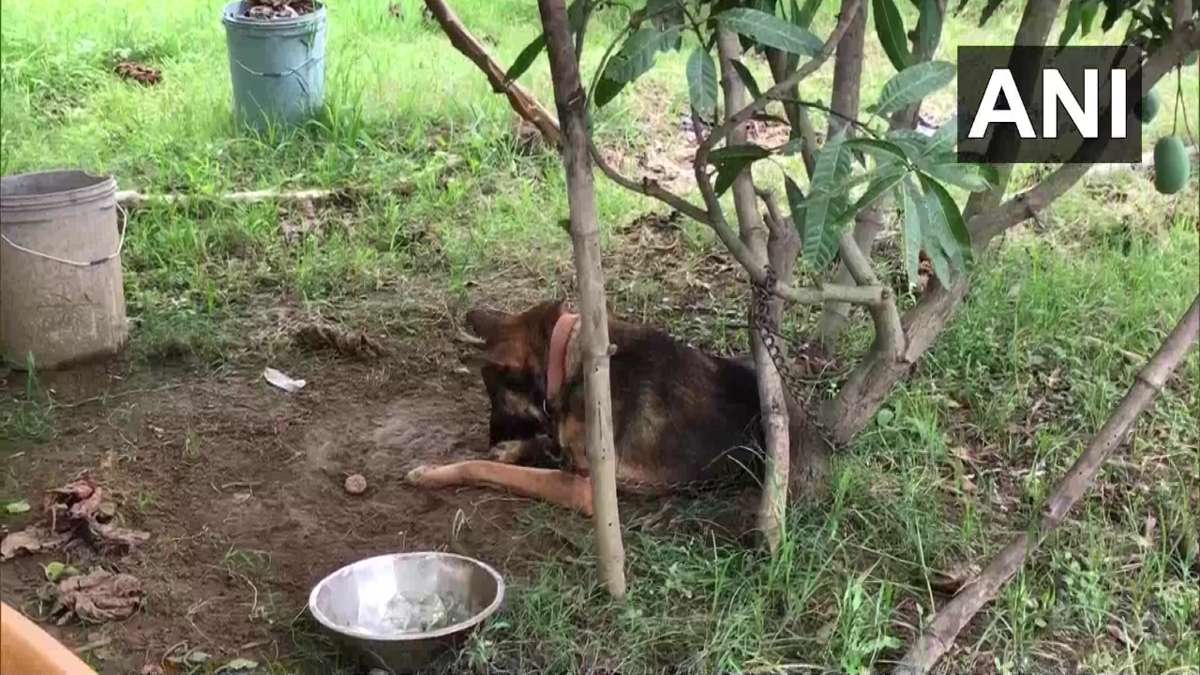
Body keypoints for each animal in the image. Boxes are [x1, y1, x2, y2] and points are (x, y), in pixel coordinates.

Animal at [405, 300, 815, 515]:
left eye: (496, 399)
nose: (491, 439)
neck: (565, 359)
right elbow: (544, 443)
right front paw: (511, 449)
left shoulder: (586, 487)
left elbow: (487, 468)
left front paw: (435, 472)